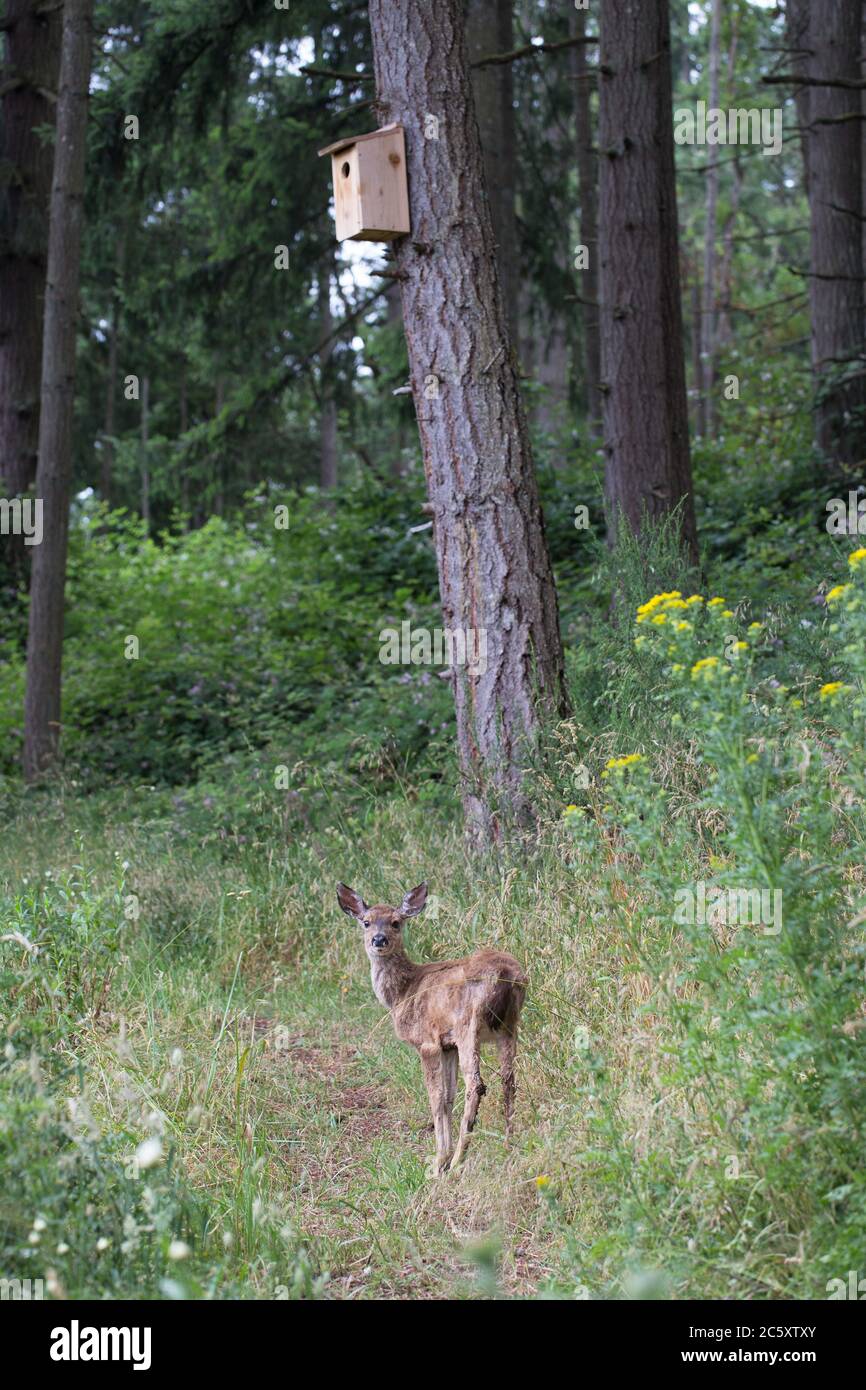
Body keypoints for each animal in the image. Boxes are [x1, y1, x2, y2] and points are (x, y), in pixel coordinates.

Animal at [337, 878, 528, 1173]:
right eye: (366, 922)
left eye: (395, 922)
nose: (378, 940)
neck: (403, 993)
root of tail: (506, 975)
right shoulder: (447, 1044)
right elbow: (448, 1097)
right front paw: (443, 1156)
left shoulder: (427, 1041)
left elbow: (436, 1098)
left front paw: (439, 1162)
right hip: (508, 1026)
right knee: (509, 1079)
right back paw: (509, 1145)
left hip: (468, 1025)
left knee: (476, 1084)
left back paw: (460, 1158)